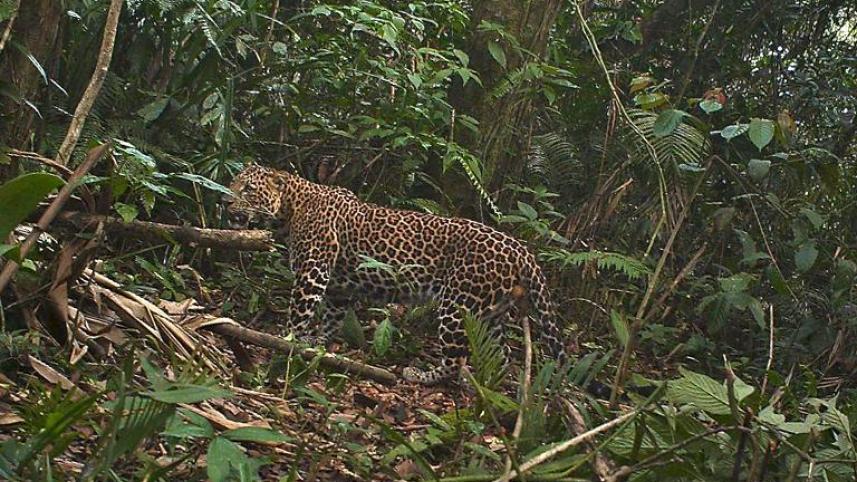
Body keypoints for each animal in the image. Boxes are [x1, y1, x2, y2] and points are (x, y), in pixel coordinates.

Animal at [224, 164, 567, 385]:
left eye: (249, 189)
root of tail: (521, 248)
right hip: (489, 314)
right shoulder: (337, 288)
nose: (225, 200)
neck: (290, 208)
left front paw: (285, 342)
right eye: (233, 182)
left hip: (458, 306)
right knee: (499, 356)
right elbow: (332, 319)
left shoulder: (313, 271)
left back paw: (422, 375)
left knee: (455, 360)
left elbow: (298, 314)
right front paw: (317, 343)